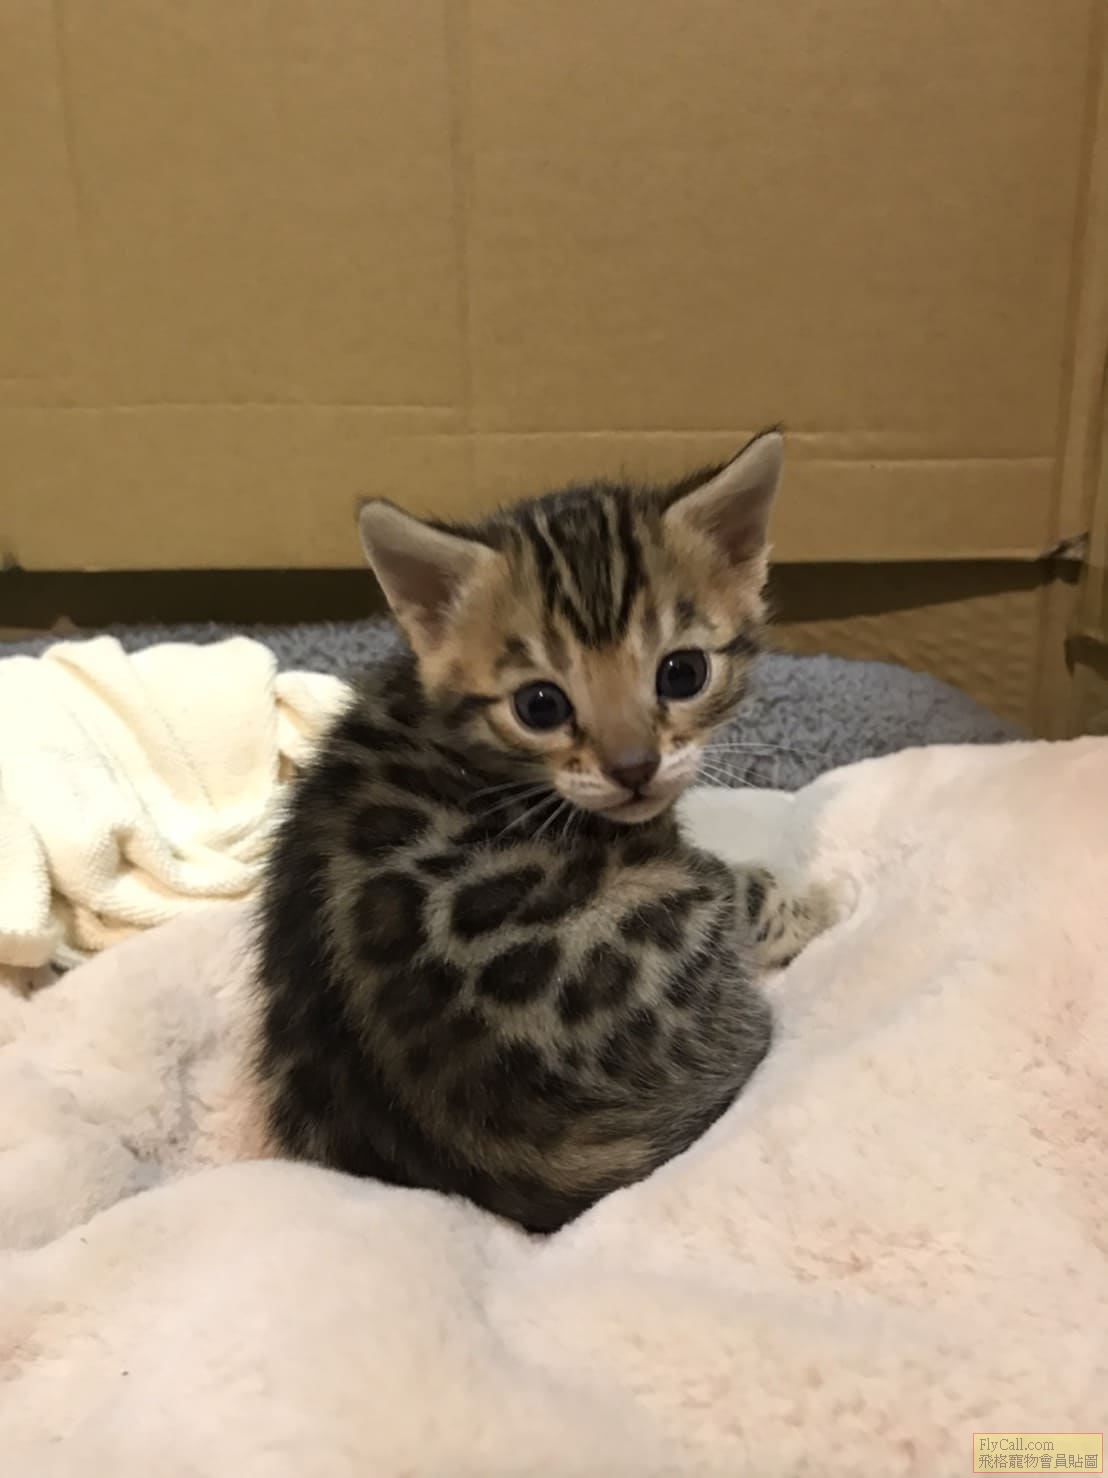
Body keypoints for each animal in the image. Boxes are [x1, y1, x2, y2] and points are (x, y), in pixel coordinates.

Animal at [254, 429, 828, 1232]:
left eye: (682, 672)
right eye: (540, 705)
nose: (634, 767)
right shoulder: (681, 869)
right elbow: (744, 883)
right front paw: (819, 900)